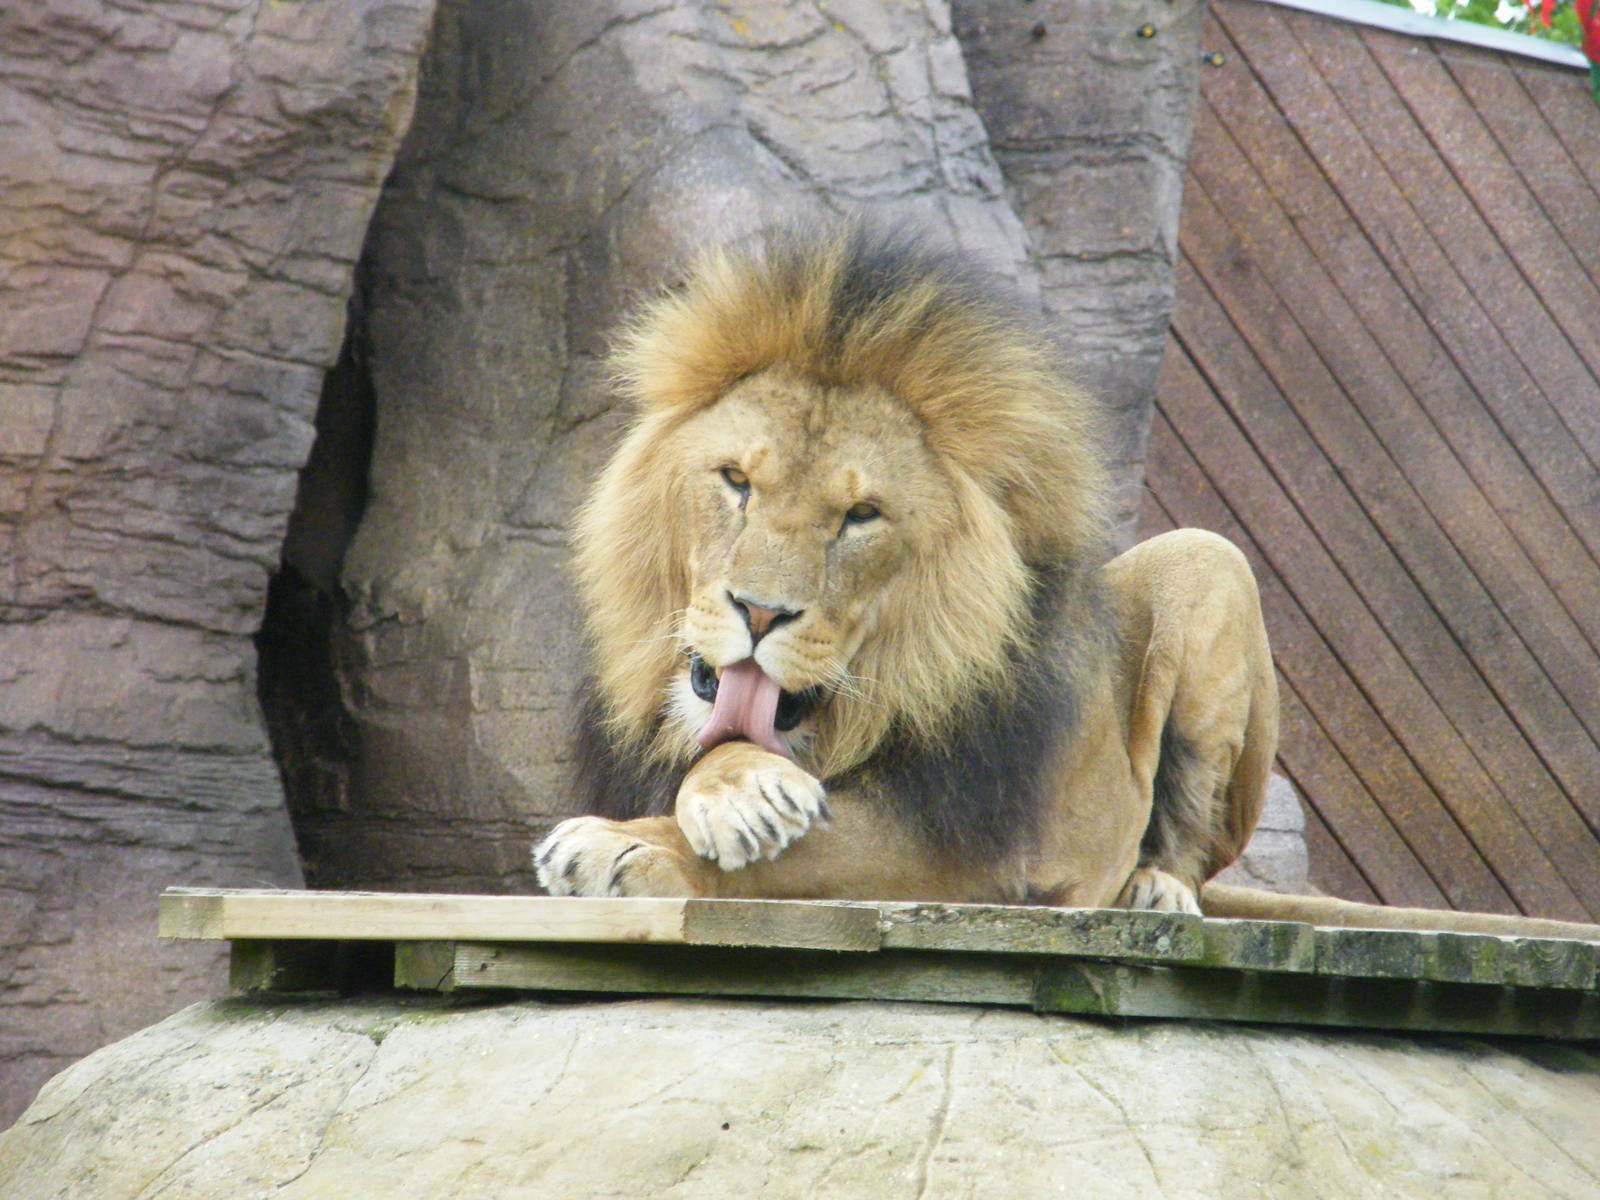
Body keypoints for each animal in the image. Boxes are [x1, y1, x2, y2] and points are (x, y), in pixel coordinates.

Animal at [533, 221, 1600, 940]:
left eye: (861, 516)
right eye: (736, 482)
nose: (758, 612)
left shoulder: (965, 851)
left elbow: (786, 854)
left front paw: (632, 842)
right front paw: (737, 790)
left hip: (1205, 562)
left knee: (1186, 838)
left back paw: (1156, 891)